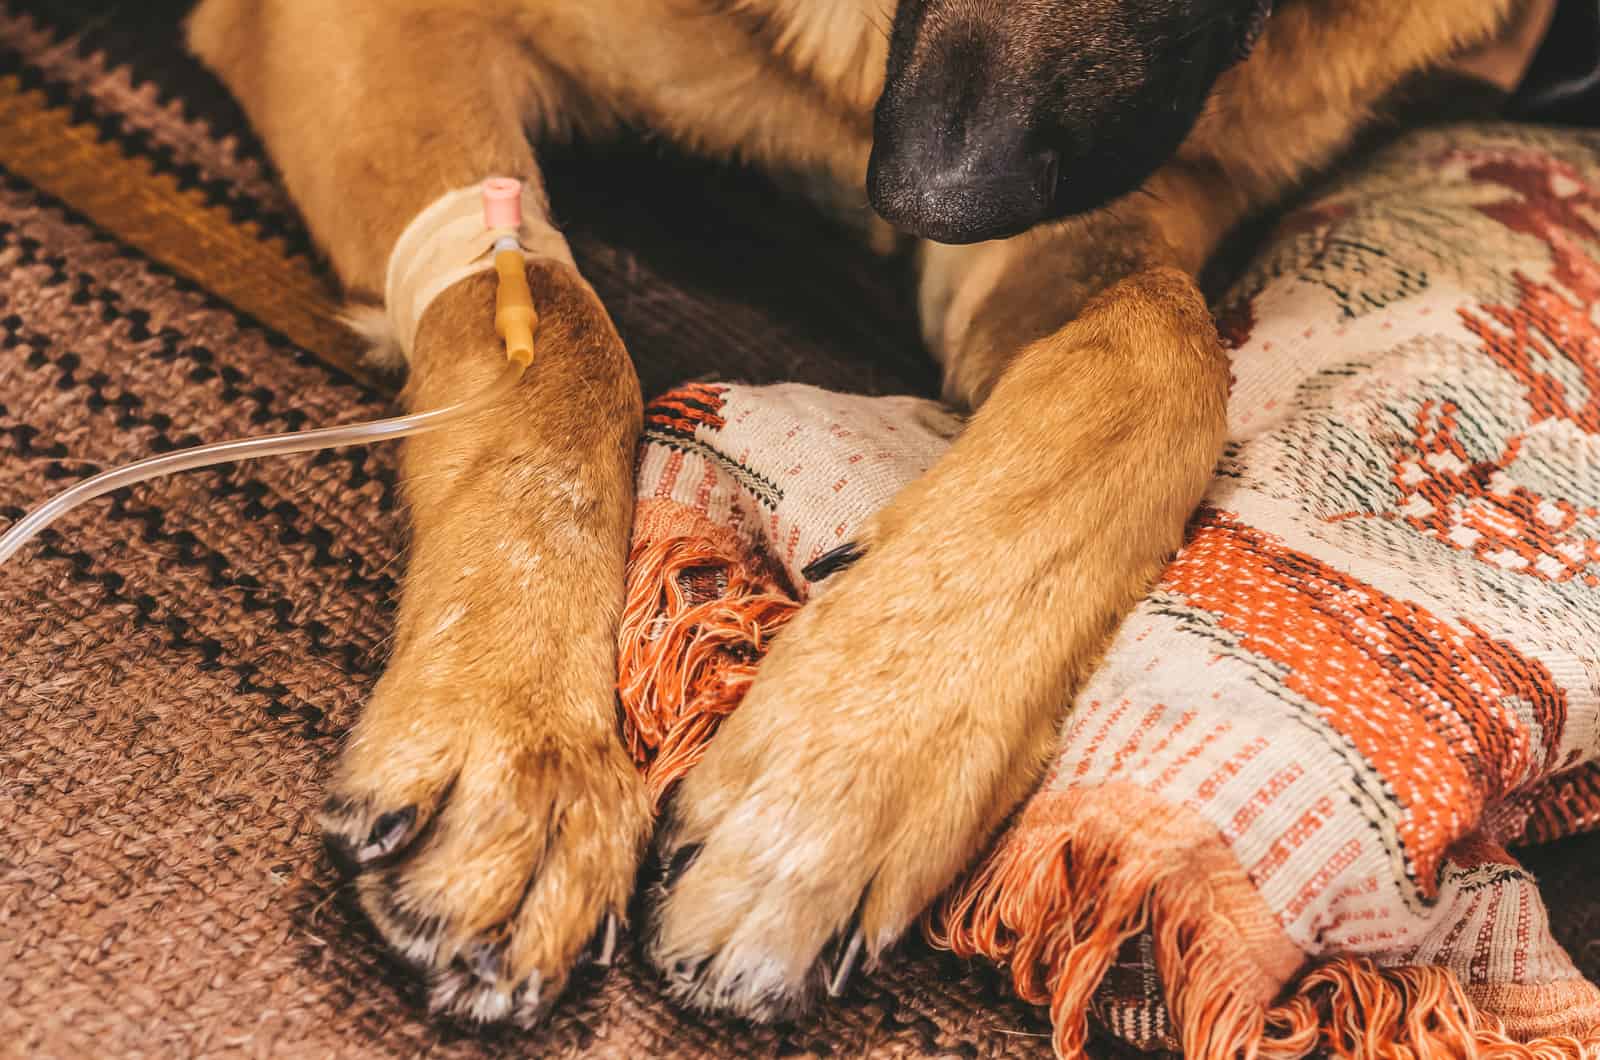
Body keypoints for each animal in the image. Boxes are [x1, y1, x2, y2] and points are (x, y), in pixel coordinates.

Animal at [184, 0, 1548, 1037]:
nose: (922, 198)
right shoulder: (365, 26)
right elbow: (547, 328)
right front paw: (528, 747)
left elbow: (1168, 349)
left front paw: (844, 768)